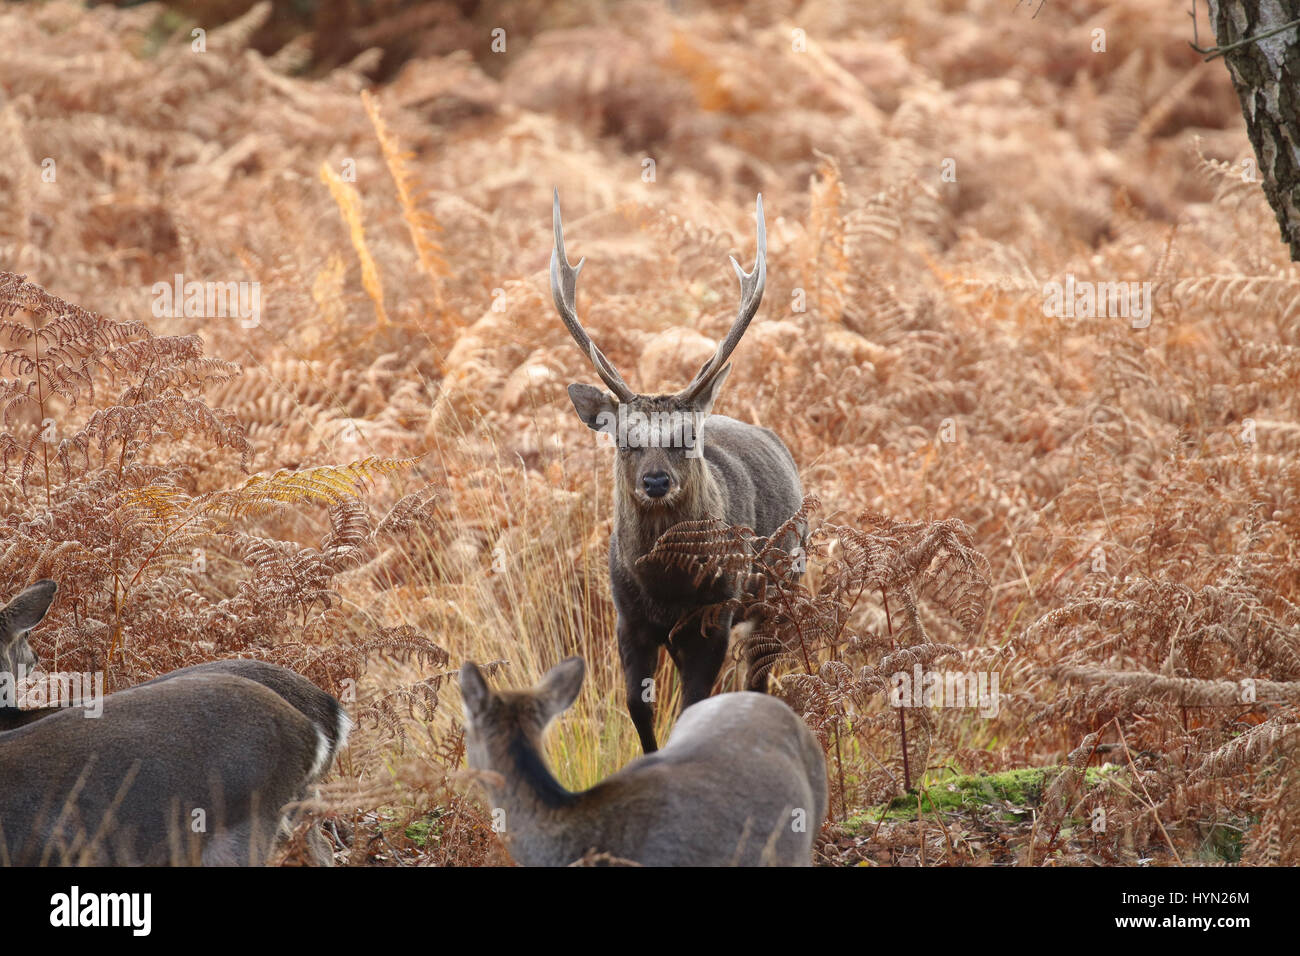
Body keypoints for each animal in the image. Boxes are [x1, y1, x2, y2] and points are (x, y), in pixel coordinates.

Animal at [551, 190, 804, 752]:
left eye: (687, 436)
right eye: (624, 437)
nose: (655, 481)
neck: (665, 589)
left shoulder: (714, 617)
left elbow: (692, 707)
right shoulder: (629, 620)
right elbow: (638, 709)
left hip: (782, 591)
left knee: (759, 681)